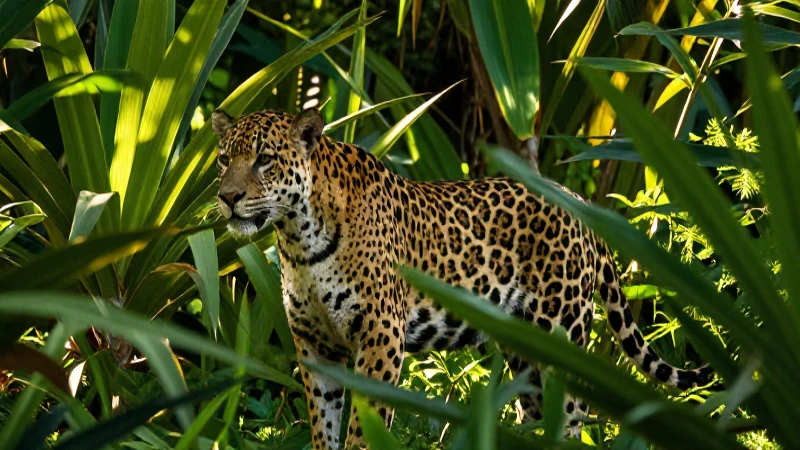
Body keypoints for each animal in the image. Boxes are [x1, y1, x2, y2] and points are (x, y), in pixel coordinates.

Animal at [212, 107, 712, 450]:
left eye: (265, 159)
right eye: (222, 160)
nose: (226, 197)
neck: (300, 239)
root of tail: (576, 198)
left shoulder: (380, 337)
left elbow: (361, 428)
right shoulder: (315, 345)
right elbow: (324, 426)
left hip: (562, 336)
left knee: (574, 419)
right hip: (526, 354)